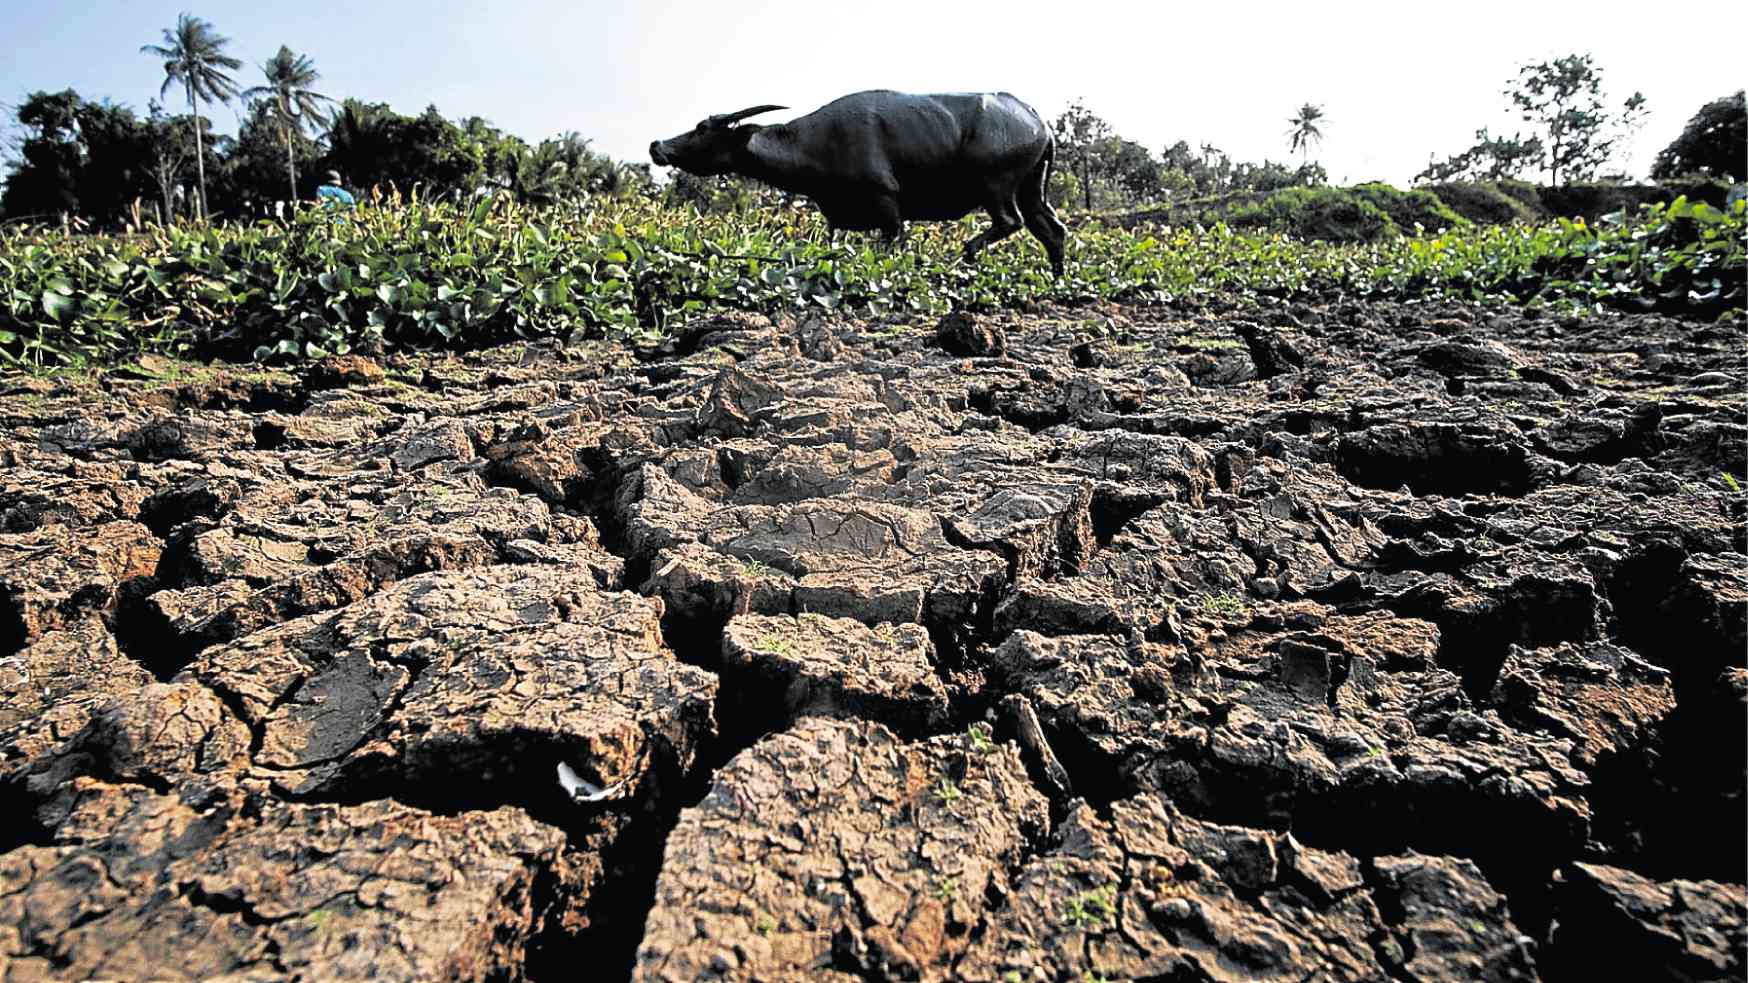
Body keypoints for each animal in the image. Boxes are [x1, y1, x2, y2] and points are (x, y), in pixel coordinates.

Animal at [653, 92, 1062, 276]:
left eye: (703, 128)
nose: (657, 145)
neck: (818, 141)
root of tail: (1037, 121)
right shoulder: (837, 219)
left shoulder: (888, 206)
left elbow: (892, 247)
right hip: (1031, 186)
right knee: (1051, 228)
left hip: (996, 184)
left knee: (1010, 221)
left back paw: (968, 253)